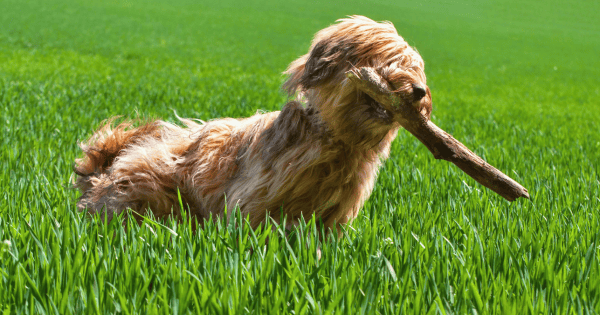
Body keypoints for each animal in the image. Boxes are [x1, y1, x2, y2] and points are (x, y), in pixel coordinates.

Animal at [74, 14, 432, 231]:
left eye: (414, 67)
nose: (420, 92)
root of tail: (100, 171)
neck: (335, 140)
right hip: (151, 184)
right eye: (385, 61)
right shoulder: (253, 201)